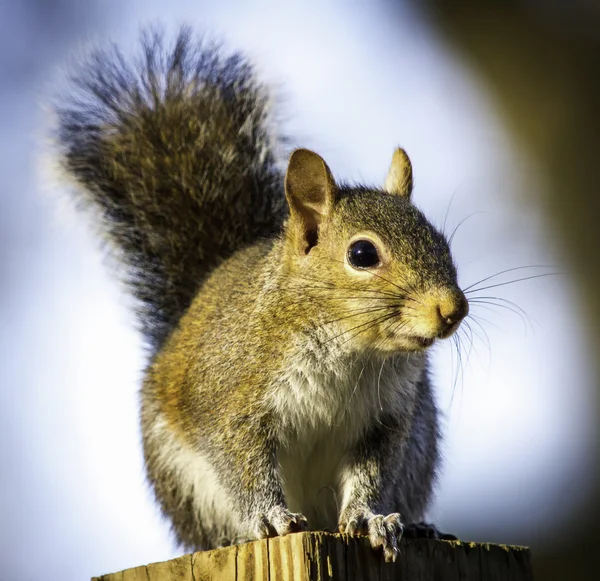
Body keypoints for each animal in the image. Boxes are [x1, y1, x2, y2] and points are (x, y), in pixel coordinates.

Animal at [54, 27, 468, 560]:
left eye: (442, 242)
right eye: (362, 254)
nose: (453, 309)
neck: (351, 349)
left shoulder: (387, 421)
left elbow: (370, 475)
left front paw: (369, 518)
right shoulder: (235, 402)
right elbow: (245, 466)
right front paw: (269, 516)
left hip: (419, 445)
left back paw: (417, 526)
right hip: (184, 481)